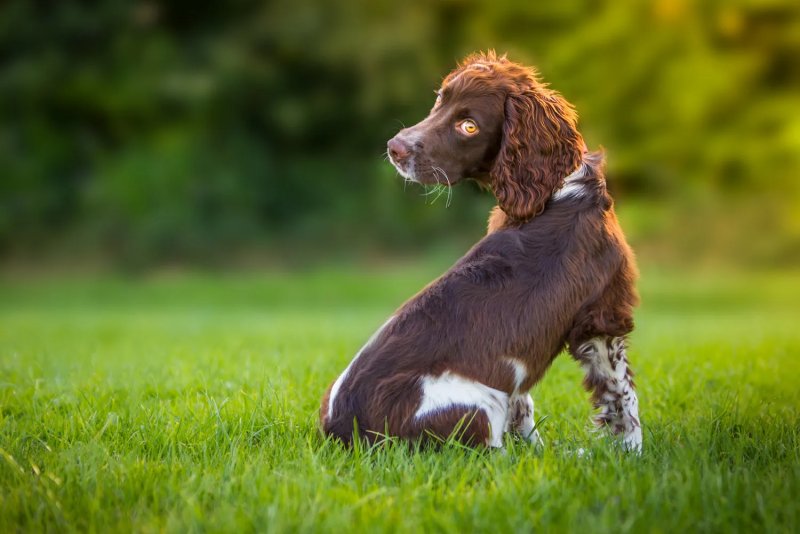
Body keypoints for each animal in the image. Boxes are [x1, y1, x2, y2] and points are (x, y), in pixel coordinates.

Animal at [316, 50, 640, 454]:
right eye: (440, 99)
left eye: (469, 126)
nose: (395, 147)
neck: (555, 185)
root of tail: (343, 433)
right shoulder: (603, 318)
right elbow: (623, 396)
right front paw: (632, 453)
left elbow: (525, 403)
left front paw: (537, 452)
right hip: (479, 401)